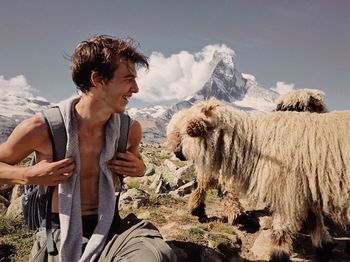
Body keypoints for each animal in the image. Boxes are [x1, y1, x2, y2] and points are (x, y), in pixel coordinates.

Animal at [167, 100, 350, 260]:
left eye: (182, 133)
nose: (177, 153)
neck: (257, 141)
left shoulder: (287, 190)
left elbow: (284, 227)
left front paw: (278, 254)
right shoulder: (303, 188)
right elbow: (314, 220)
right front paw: (324, 245)